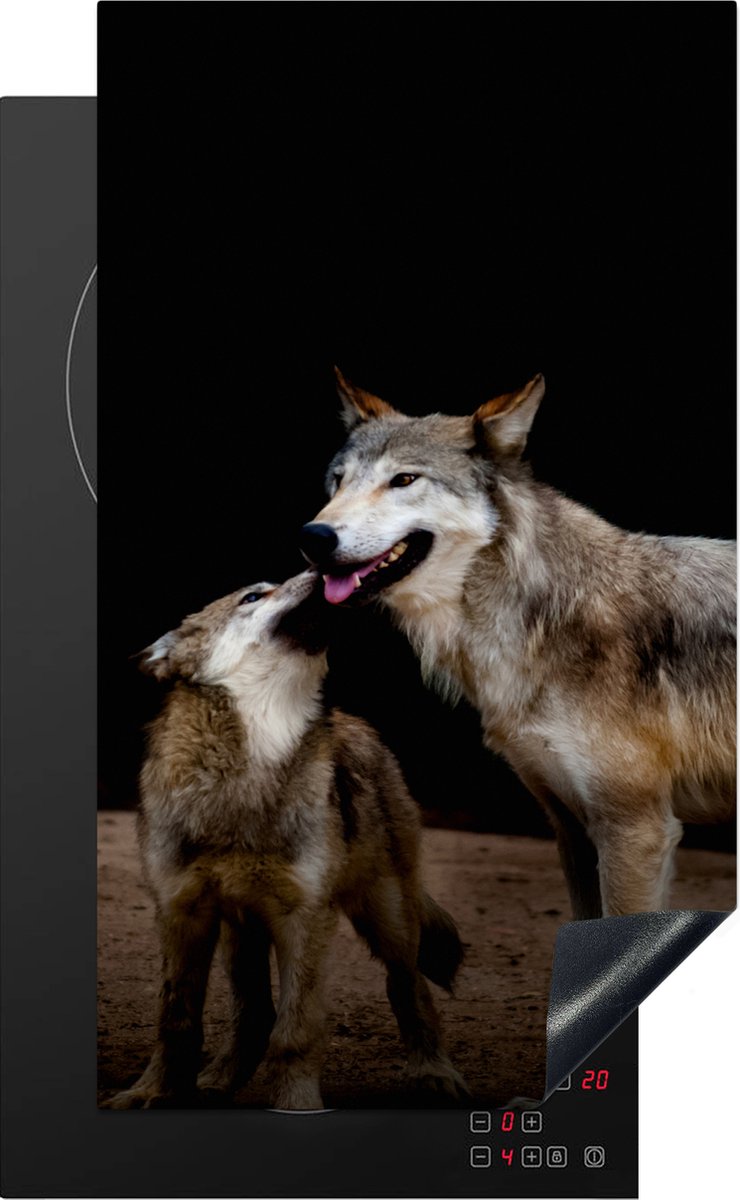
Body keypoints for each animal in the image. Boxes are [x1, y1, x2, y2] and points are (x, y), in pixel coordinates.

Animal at [107, 571, 467, 1111]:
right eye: (254, 596)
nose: (320, 571)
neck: (250, 768)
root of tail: (355, 721)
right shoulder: (179, 912)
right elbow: (176, 1018)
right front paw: (151, 1091)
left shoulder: (305, 917)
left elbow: (296, 1029)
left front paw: (297, 1103)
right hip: (242, 931)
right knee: (253, 1012)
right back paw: (217, 1081)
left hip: (388, 915)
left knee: (408, 987)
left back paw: (434, 1073)